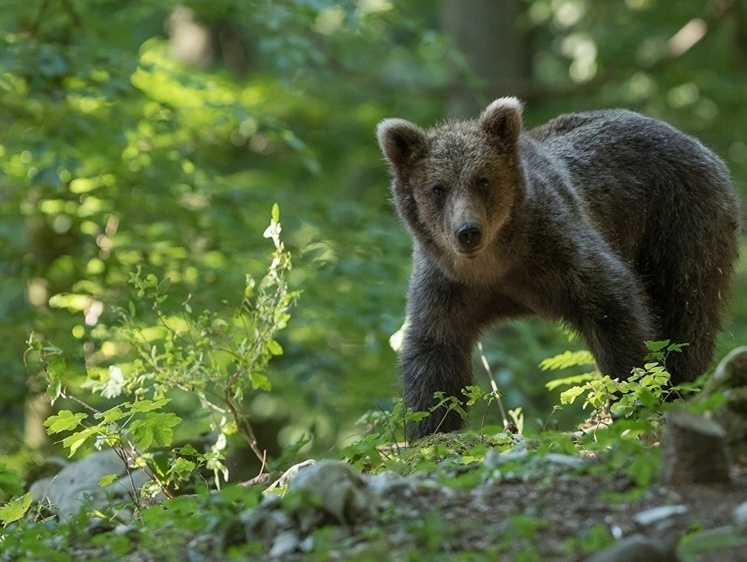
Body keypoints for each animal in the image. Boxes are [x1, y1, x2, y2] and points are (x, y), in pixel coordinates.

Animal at [380, 97, 744, 438]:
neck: (498, 264)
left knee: (687, 311)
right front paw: (430, 427)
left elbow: (614, 306)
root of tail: (693, 141)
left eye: (482, 180)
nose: (468, 231)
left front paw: (633, 395)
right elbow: (434, 351)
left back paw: (684, 384)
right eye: (437, 188)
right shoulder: (448, 284)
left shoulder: (559, 249)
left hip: (679, 221)